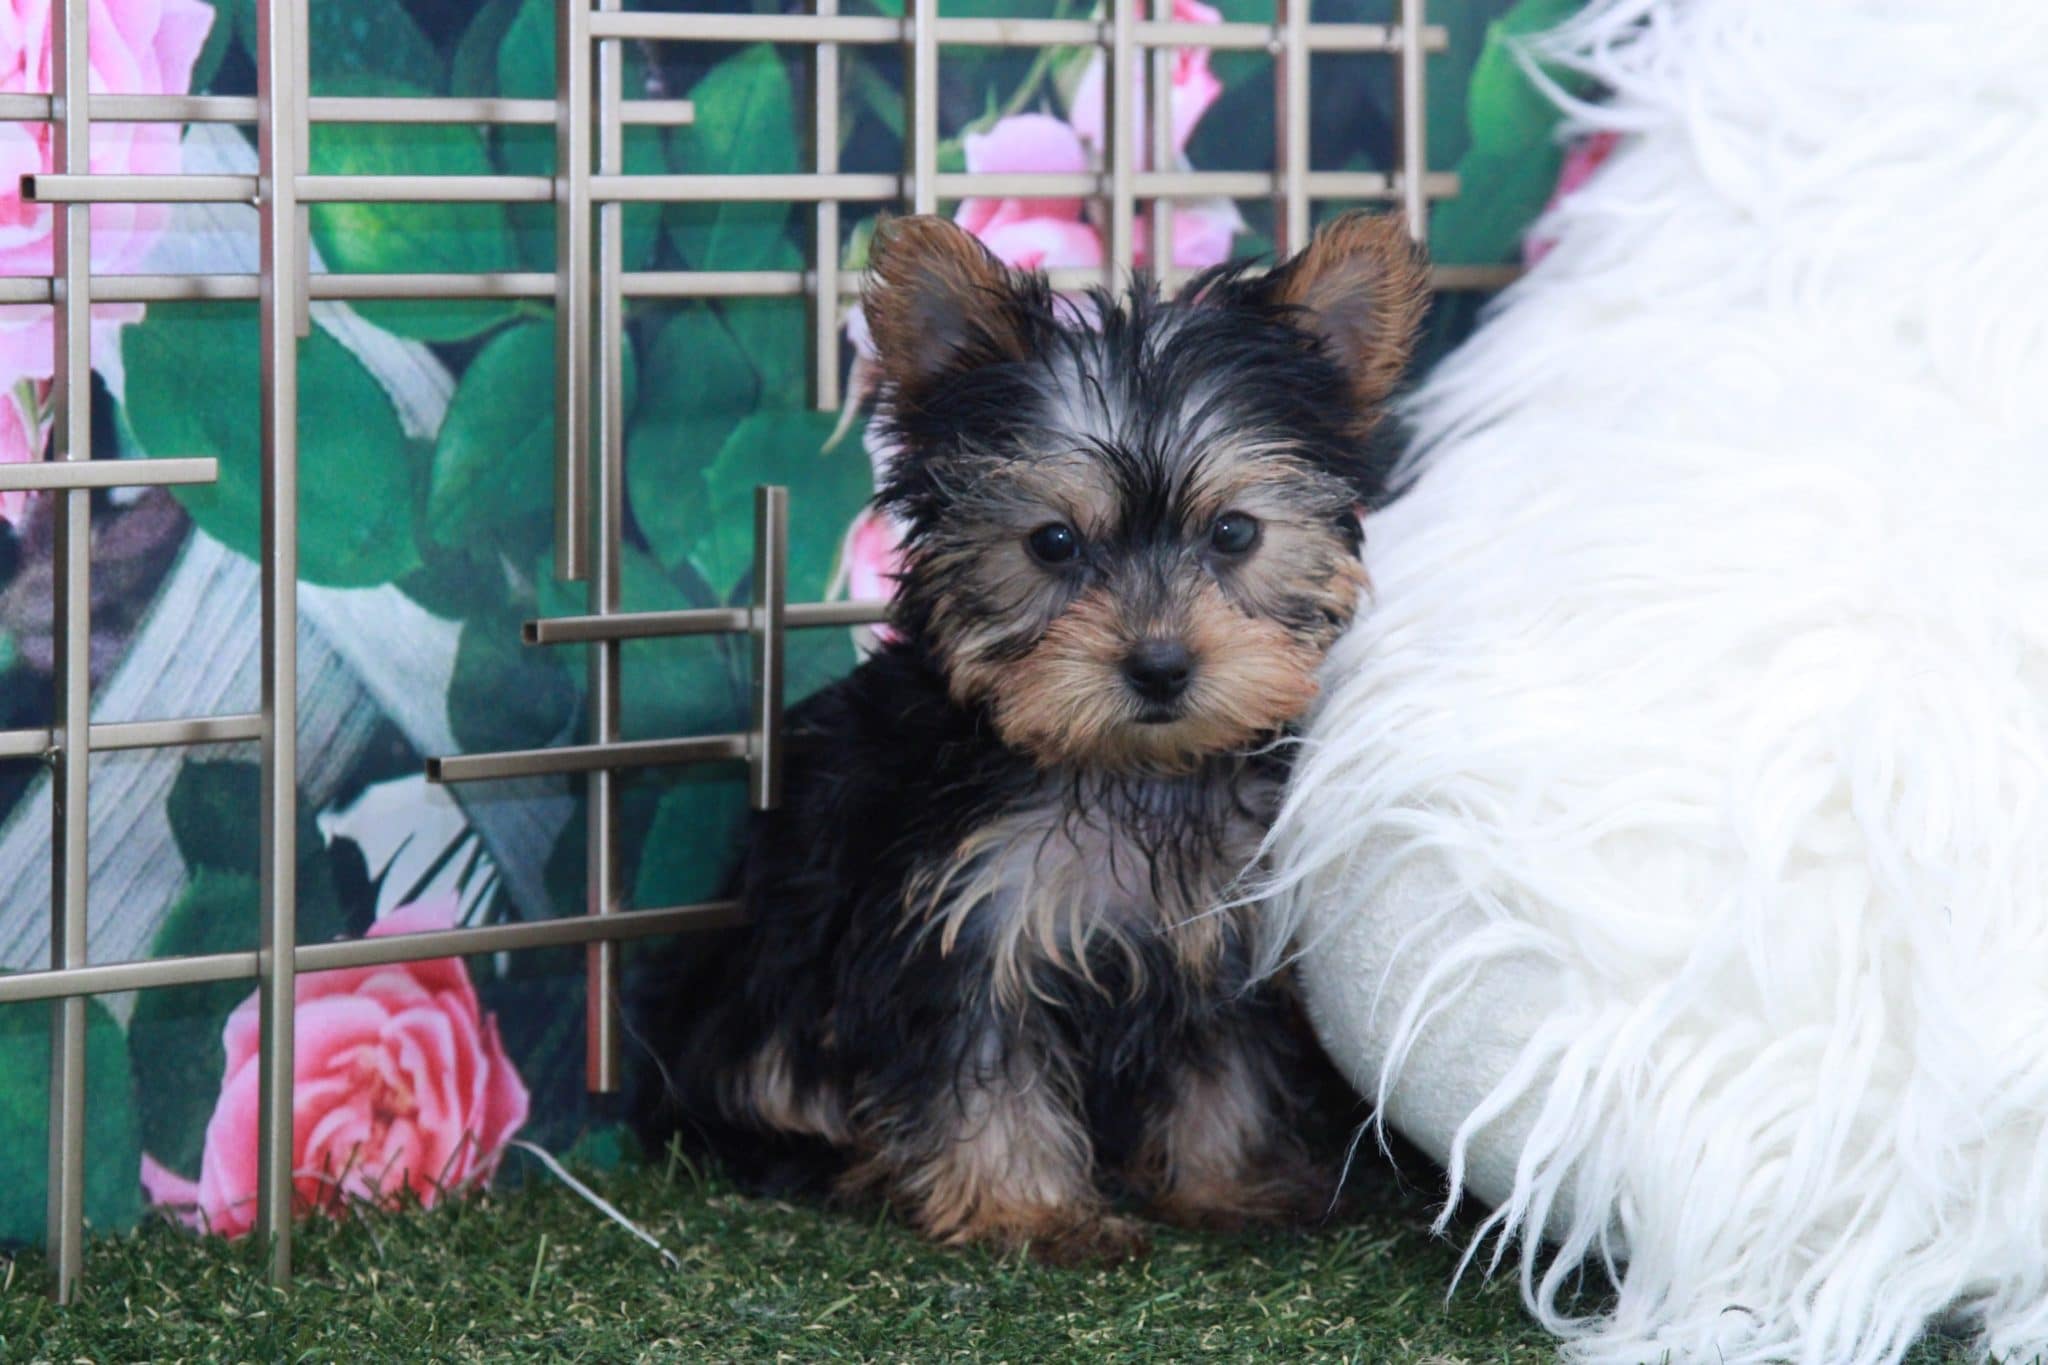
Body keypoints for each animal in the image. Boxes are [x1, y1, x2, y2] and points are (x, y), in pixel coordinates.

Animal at [652, 210, 1427, 1264]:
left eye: (1233, 533)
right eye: (1052, 543)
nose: (1160, 665)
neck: (1126, 768)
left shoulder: (1219, 928)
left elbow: (1222, 1059)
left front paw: (1227, 1181)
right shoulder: (961, 923)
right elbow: (983, 1068)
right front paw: (1024, 1208)